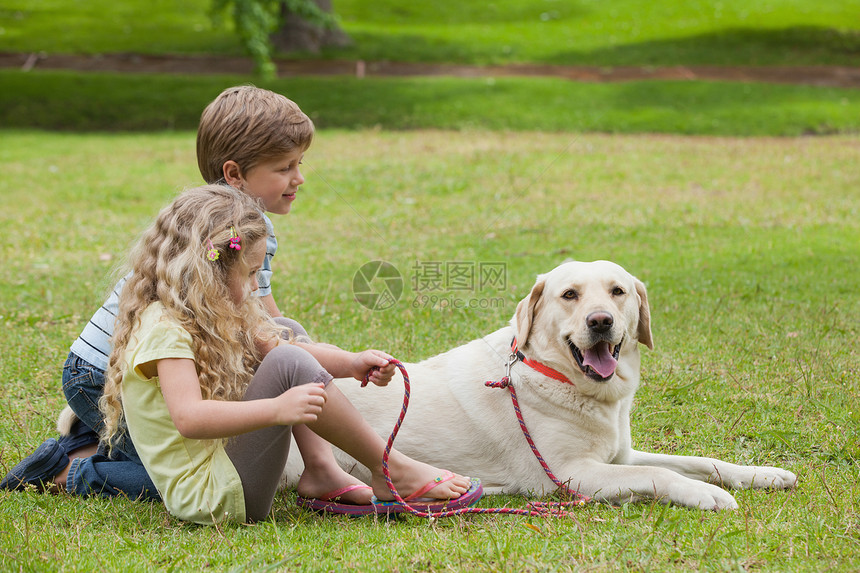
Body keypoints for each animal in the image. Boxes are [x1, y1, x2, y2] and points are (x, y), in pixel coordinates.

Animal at [286, 260, 796, 510]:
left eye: (618, 291)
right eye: (569, 295)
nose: (600, 321)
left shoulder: (619, 457)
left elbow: (701, 461)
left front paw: (763, 474)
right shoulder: (573, 473)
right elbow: (662, 474)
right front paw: (706, 495)